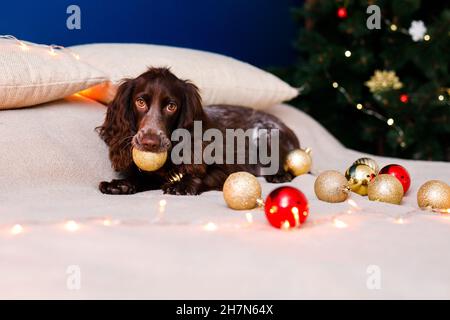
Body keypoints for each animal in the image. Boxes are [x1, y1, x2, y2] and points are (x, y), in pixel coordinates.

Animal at [100, 67, 300, 195]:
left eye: (171, 106)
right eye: (140, 102)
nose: (150, 143)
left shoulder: (228, 168)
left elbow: (205, 175)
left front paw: (183, 185)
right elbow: (144, 178)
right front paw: (121, 184)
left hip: (267, 135)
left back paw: (279, 175)